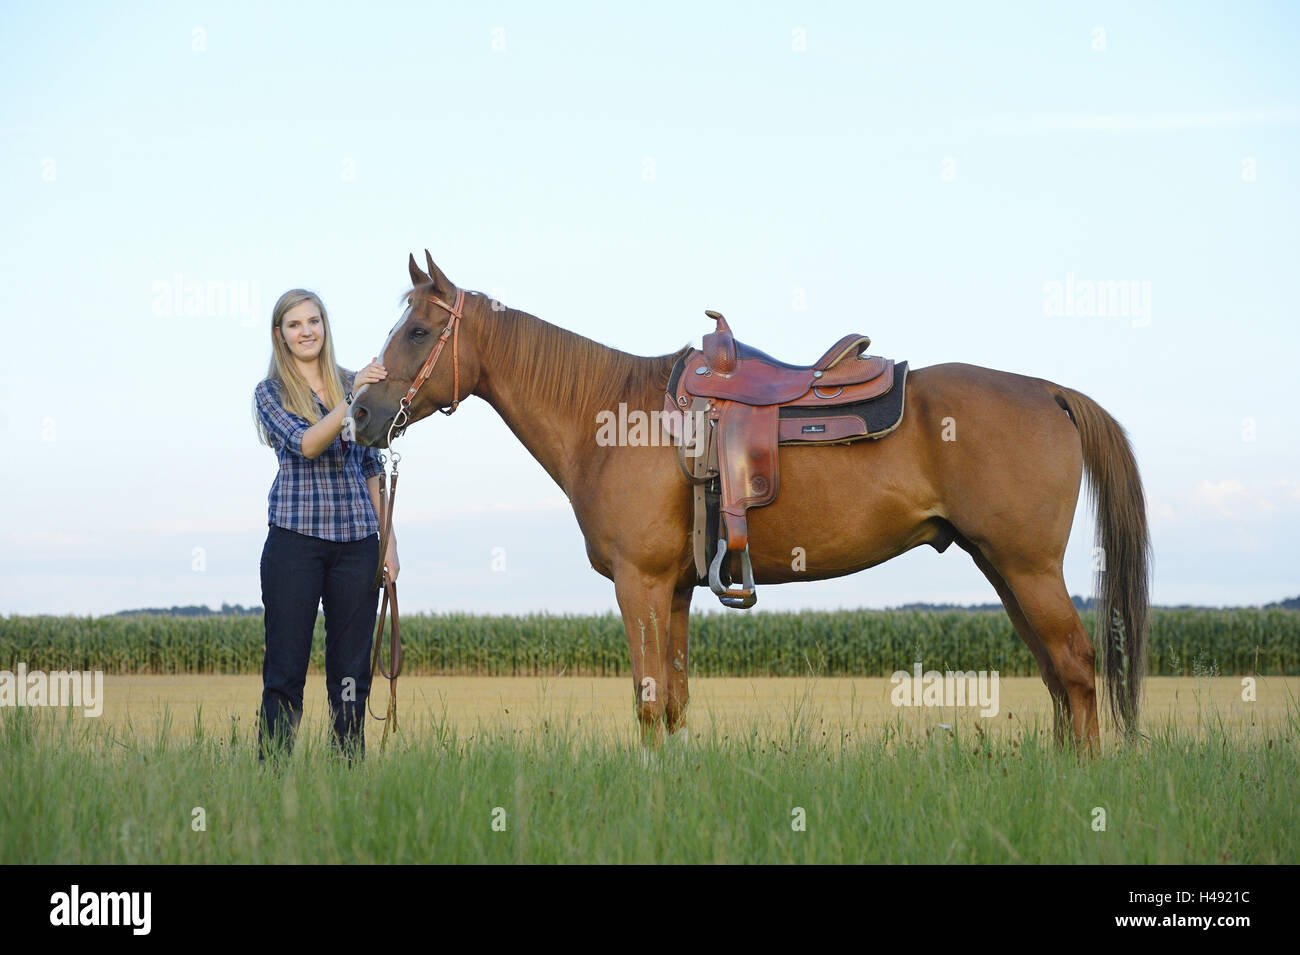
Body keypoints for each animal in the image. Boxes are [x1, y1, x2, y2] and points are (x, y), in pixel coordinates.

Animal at [345, 252, 1149, 753]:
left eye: (419, 330)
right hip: (1002, 568)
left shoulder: (639, 584)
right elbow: (672, 700)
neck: (615, 417)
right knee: (1057, 678)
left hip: (1027, 567)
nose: (359, 411)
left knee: (1077, 667)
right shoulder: (672, 589)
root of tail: (1049, 392)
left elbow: (646, 697)